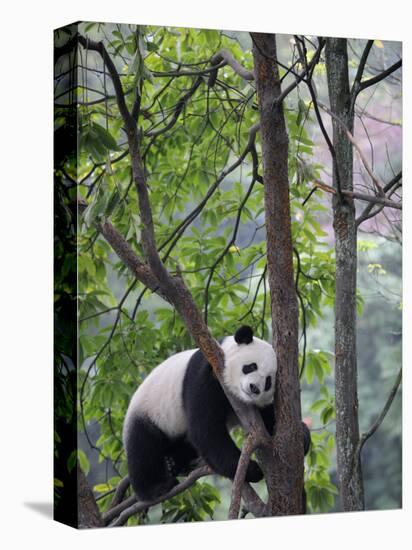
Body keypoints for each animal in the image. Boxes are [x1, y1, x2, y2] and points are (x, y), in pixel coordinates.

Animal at [122, 328, 308, 504]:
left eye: (269, 381)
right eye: (251, 366)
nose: (255, 388)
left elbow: (269, 423)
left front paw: (302, 436)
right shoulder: (206, 374)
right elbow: (206, 431)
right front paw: (252, 469)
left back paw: (176, 463)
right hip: (150, 411)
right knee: (143, 446)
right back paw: (156, 488)